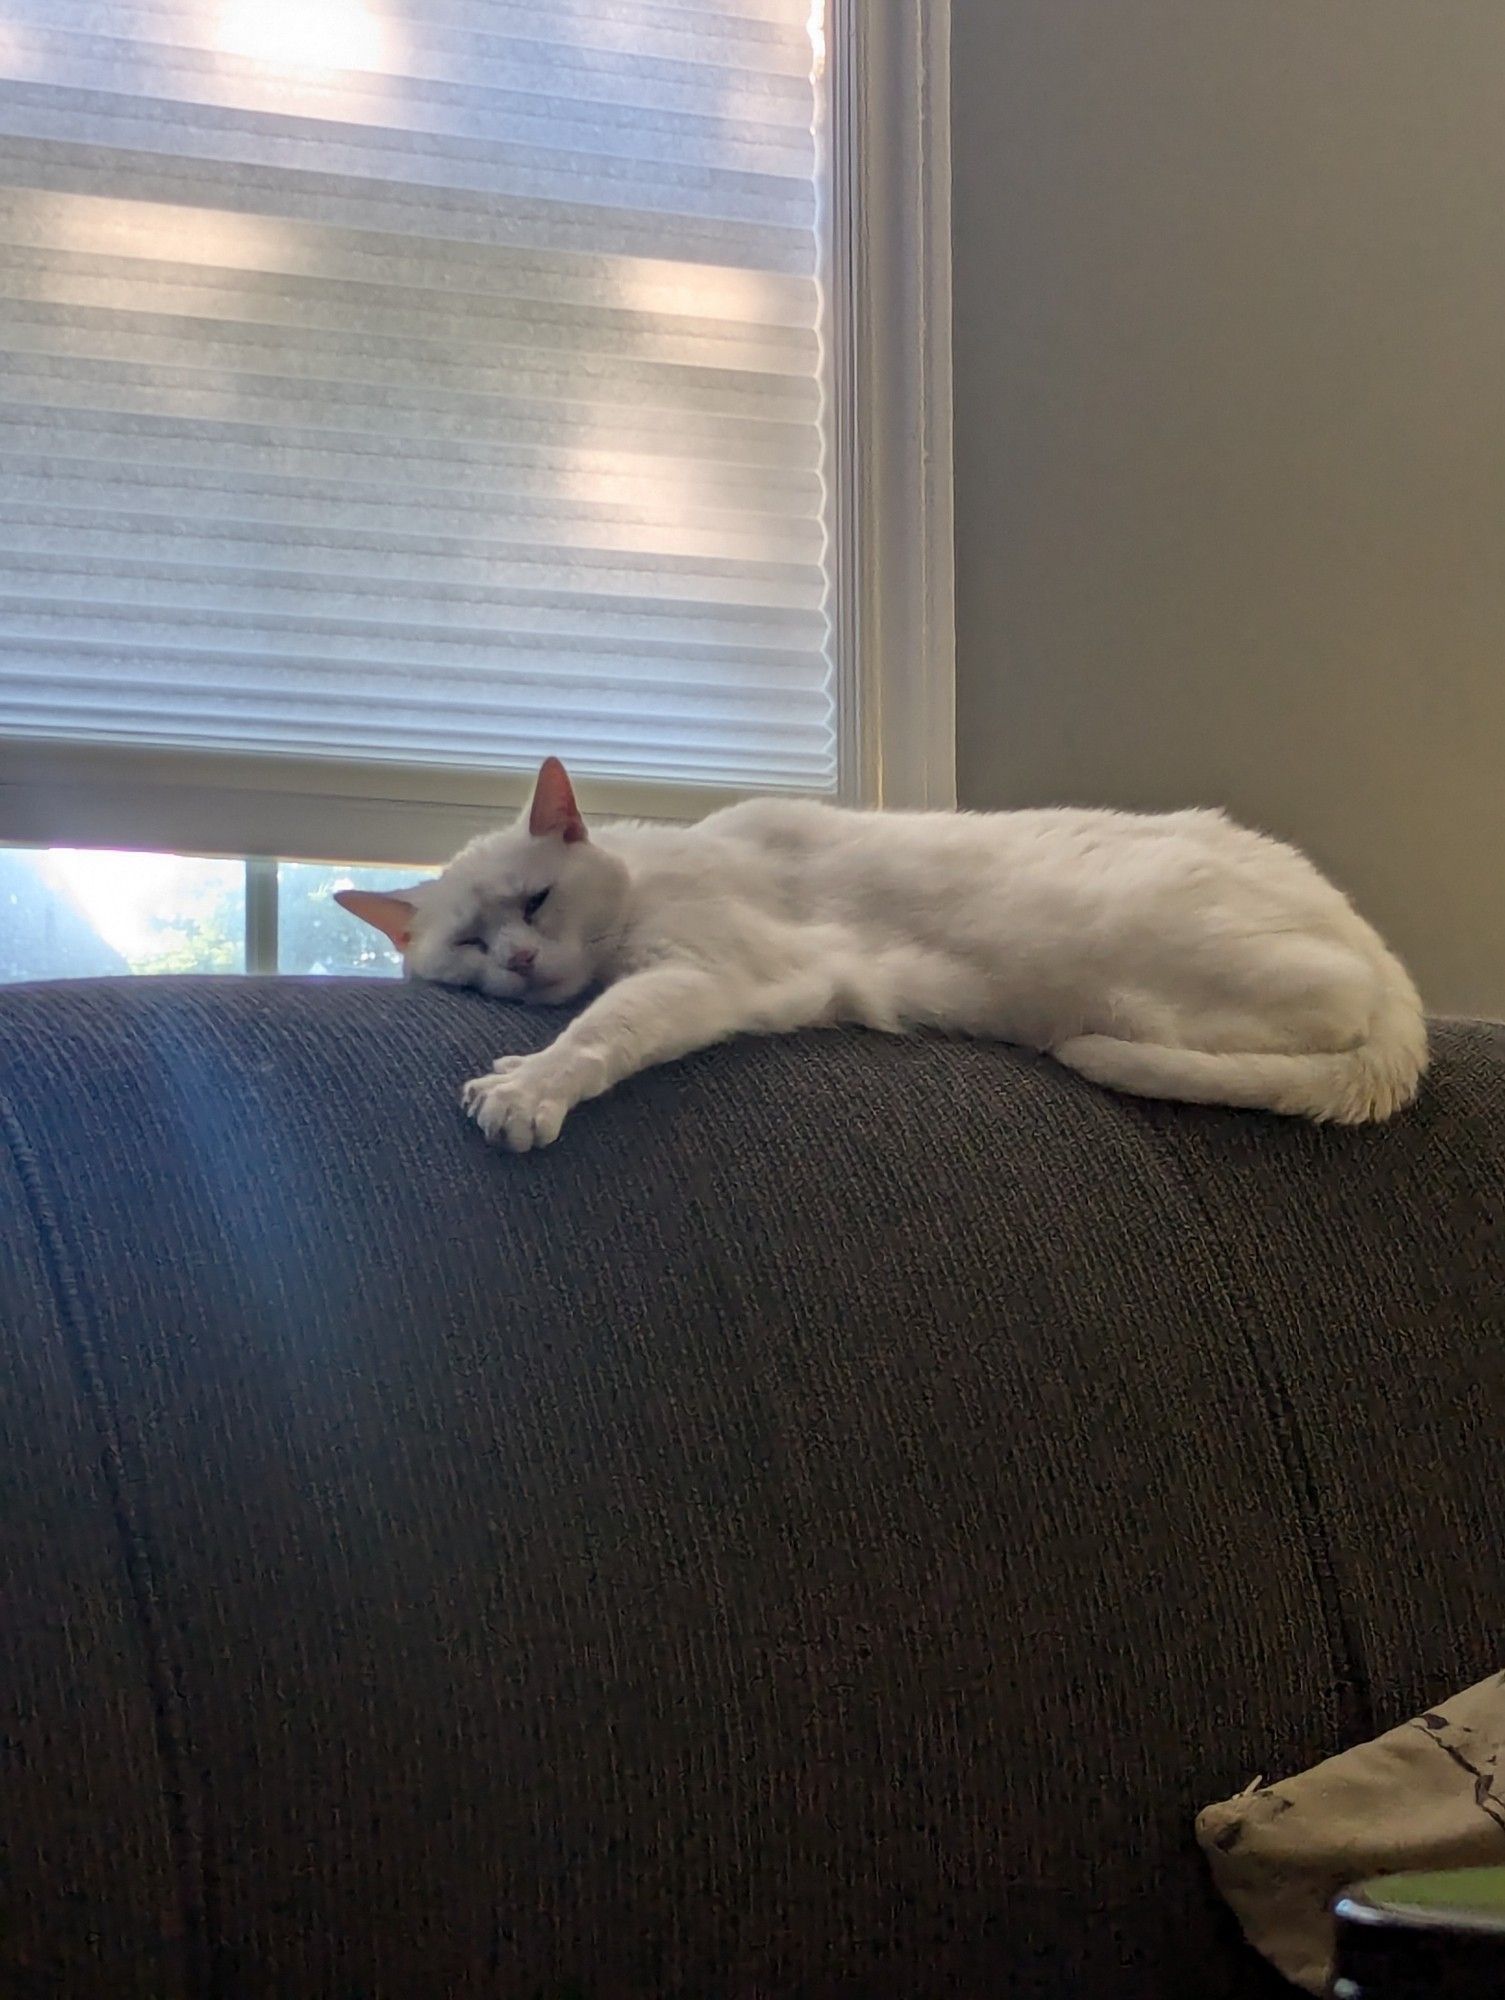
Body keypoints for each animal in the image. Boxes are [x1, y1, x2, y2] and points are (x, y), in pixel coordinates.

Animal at [334, 756, 1424, 1152]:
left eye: (536, 900)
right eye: (471, 941)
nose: (518, 961)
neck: (647, 871)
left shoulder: (704, 971)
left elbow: (599, 1031)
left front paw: (526, 1086)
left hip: (1145, 962)